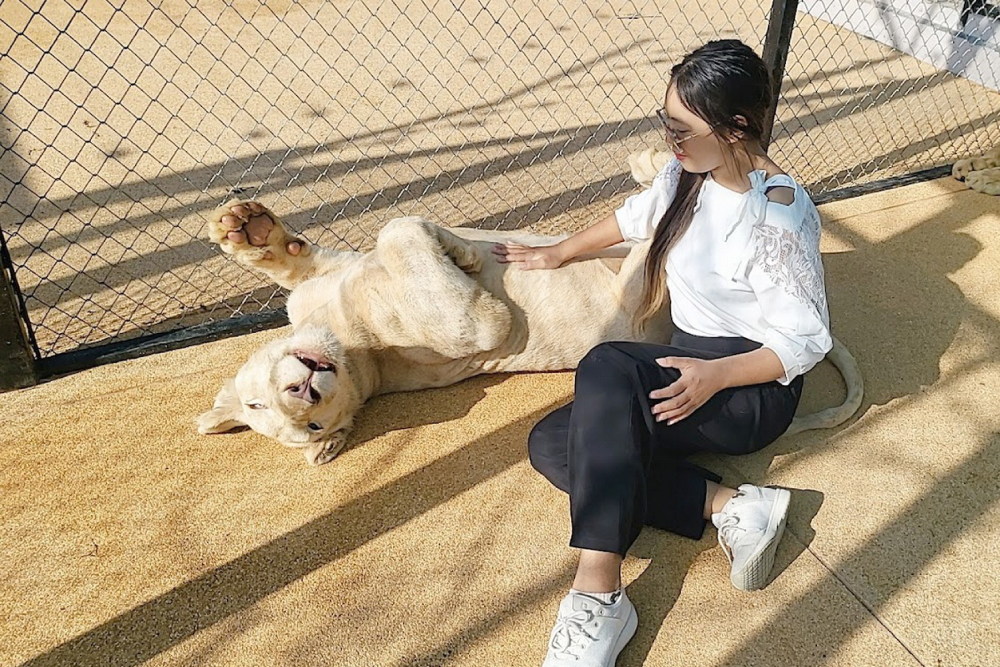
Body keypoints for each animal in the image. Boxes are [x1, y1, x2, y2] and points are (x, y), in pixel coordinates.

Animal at [197, 195, 863, 466]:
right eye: (311, 429)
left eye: (257, 403)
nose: (305, 391)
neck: (345, 344)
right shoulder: (474, 328)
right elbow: (407, 238)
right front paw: (464, 254)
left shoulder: (325, 277)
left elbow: (317, 256)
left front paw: (245, 228)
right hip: (640, 310)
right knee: (652, 251)